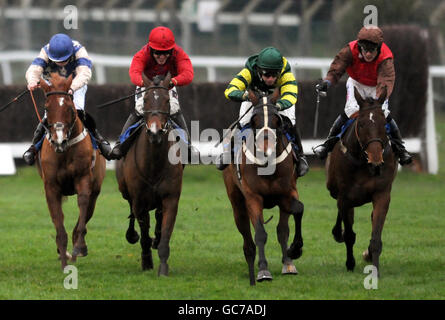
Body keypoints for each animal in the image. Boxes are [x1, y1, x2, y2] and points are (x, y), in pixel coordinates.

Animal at [36, 73, 106, 270]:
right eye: (47, 107)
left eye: (69, 107)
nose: (58, 140)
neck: (64, 151)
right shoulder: (51, 187)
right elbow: (59, 224)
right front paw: (63, 261)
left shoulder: (84, 180)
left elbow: (82, 209)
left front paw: (79, 247)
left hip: (95, 191)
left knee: (86, 213)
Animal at [116, 72, 184, 276]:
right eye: (145, 100)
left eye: (167, 100)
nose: (155, 132)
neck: (154, 163)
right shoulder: (139, 201)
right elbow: (144, 232)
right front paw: (147, 261)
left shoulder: (171, 198)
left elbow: (165, 231)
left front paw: (163, 266)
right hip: (125, 190)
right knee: (131, 210)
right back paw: (132, 235)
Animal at [222, 89, 306, 284]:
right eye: (254, 120)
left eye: (278, 121)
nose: (266, 150)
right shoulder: (253, 196)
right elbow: (260, 233)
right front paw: (263, 269)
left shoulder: (288, 192)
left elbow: (297, 212)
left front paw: (294, 251)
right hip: (236, 199)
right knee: (244, 228)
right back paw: (250, 258)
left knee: (282, 229)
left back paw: (287, 262)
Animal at [326, 87, 396, 276]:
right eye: (362, 124)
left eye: (383, 124)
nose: (376, 160)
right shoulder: (344, 197)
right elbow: (349, 235)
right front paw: (350, 263)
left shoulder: (382, 195)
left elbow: (376, 236)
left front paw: (374, 266)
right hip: (335, 190)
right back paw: (338, 233)